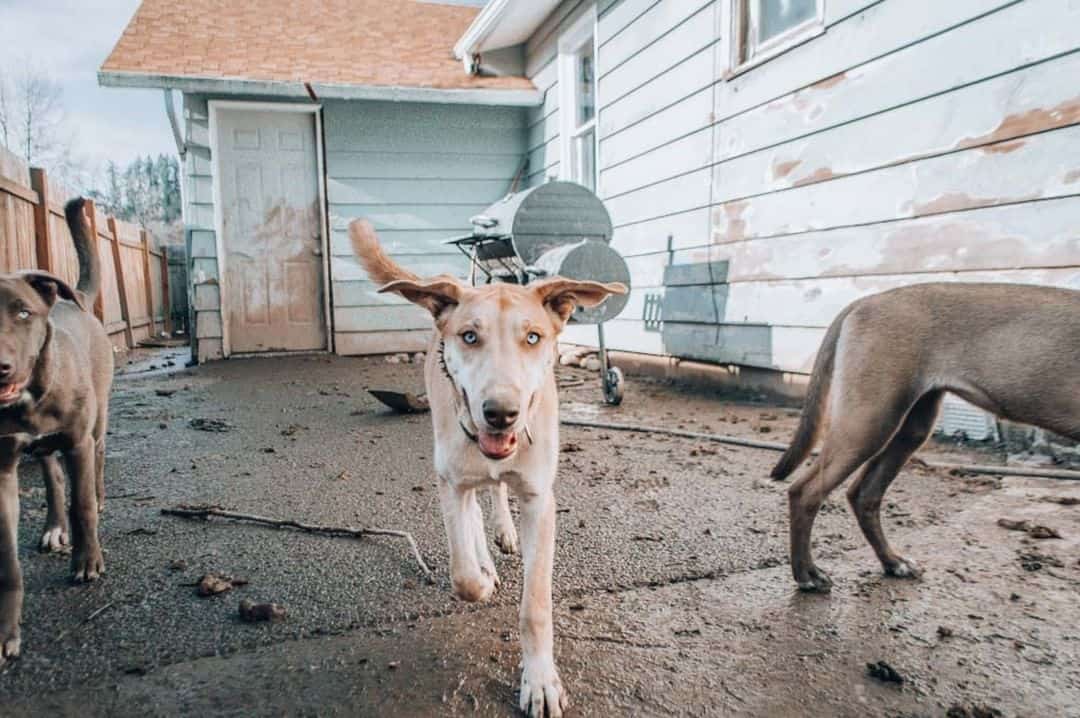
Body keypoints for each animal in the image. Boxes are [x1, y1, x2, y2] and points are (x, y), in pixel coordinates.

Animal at [349, 220, 630, 716]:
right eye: (469, 336)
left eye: (533, 337)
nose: (500, 413)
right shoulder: (450, 482)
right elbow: (462, 574)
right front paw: (480, 578)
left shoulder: (539, 499)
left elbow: (535, 605)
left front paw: (540, 680)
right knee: (477, 508)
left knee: (496, 493)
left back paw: (504, 531)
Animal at [773, 282, 1075, 591]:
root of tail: (865, 301)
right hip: (869, 422)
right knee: (805, 492)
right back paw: (807, 574)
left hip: (910, 428)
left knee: (864, 495)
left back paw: (892, 562)